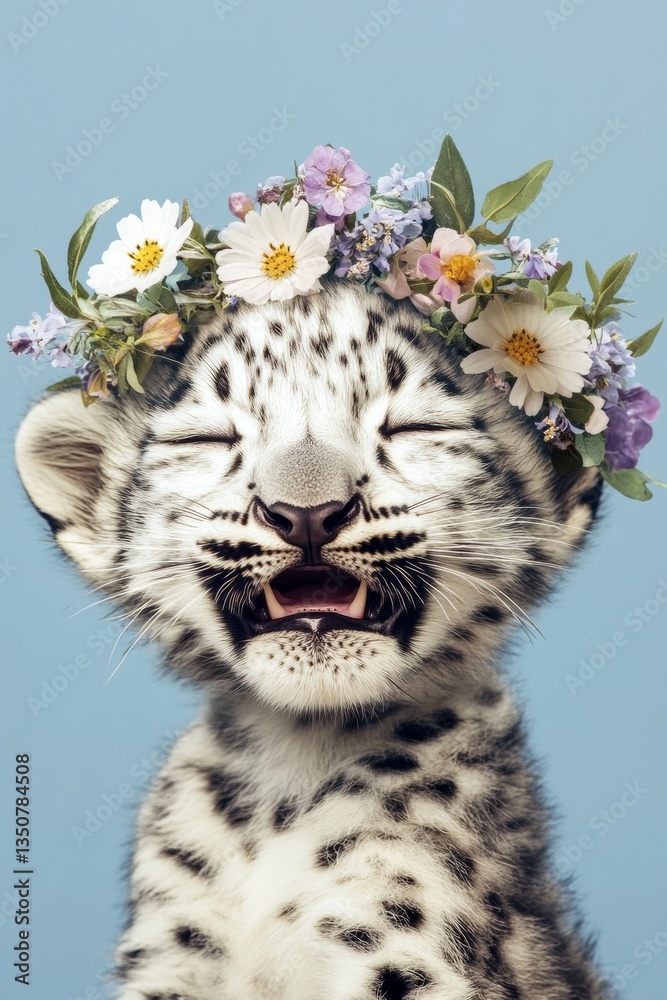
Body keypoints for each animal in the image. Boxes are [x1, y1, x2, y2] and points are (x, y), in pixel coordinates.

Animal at [15, 281, 613, 999]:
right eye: (207, 437)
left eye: (415, 427)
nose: (305, 513)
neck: (289, 773)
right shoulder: (172, 952)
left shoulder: (406, 942)